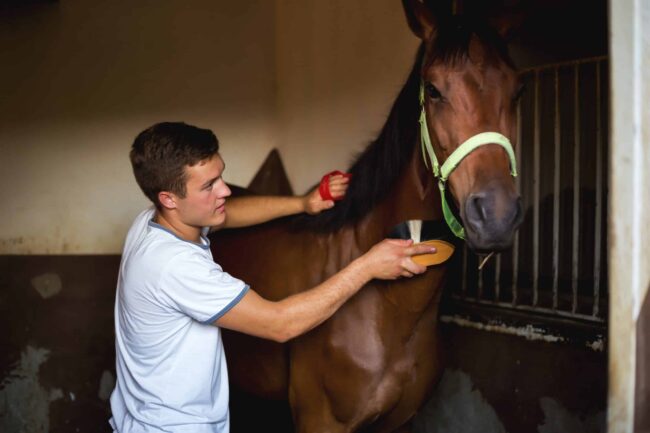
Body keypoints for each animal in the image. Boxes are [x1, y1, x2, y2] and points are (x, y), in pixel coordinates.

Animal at [211, 1, 520, 430]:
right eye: (434, 90)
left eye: (517, 90)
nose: (496, 215)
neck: (390, 308)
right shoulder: (320, 420)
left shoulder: (399, 421)